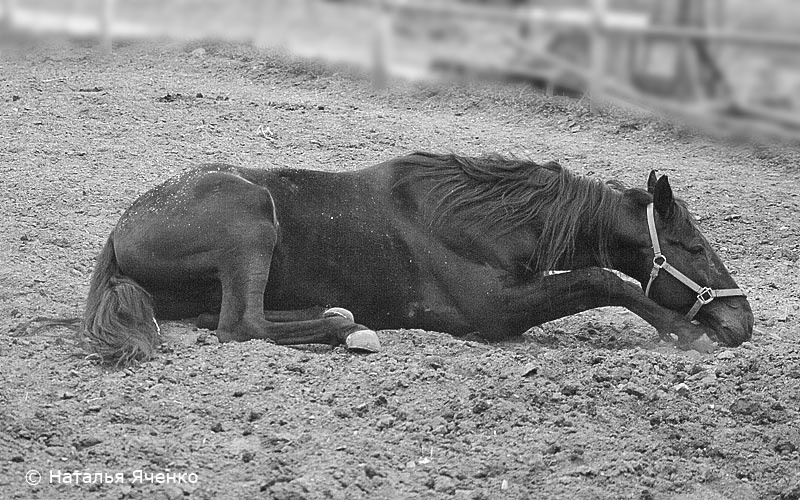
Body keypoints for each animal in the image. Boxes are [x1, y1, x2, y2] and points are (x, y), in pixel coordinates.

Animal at [82, 152, 753, 365]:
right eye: (694, 246)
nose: (742, 321)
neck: (478, 219)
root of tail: (119, 232)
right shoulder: (490, 311)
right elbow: (605, 279)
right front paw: (685, 332)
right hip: (250, 223)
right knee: (240, 325)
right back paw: (347, 329)